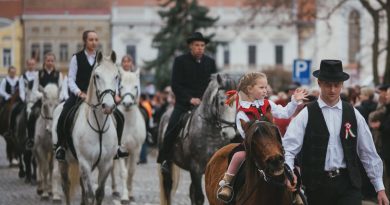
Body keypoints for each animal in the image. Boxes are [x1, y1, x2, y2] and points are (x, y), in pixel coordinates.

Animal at [51, 50, 119, 205]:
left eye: (116, 76)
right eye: (97, 76)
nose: (108, 106)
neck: (99, 127)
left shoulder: (106, 164)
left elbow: (99, 194)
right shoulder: (85, 163)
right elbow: (90, 195)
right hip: (64, 162)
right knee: (66, 185)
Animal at [111, 68, 146, 203]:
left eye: (136, 86)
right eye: (121, 86)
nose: (127, 103)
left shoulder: (135, 150)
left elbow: (131, 171)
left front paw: (130, 194)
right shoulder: (121, 149)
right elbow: (123, 173)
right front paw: (125, 197)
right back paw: (115, 190)